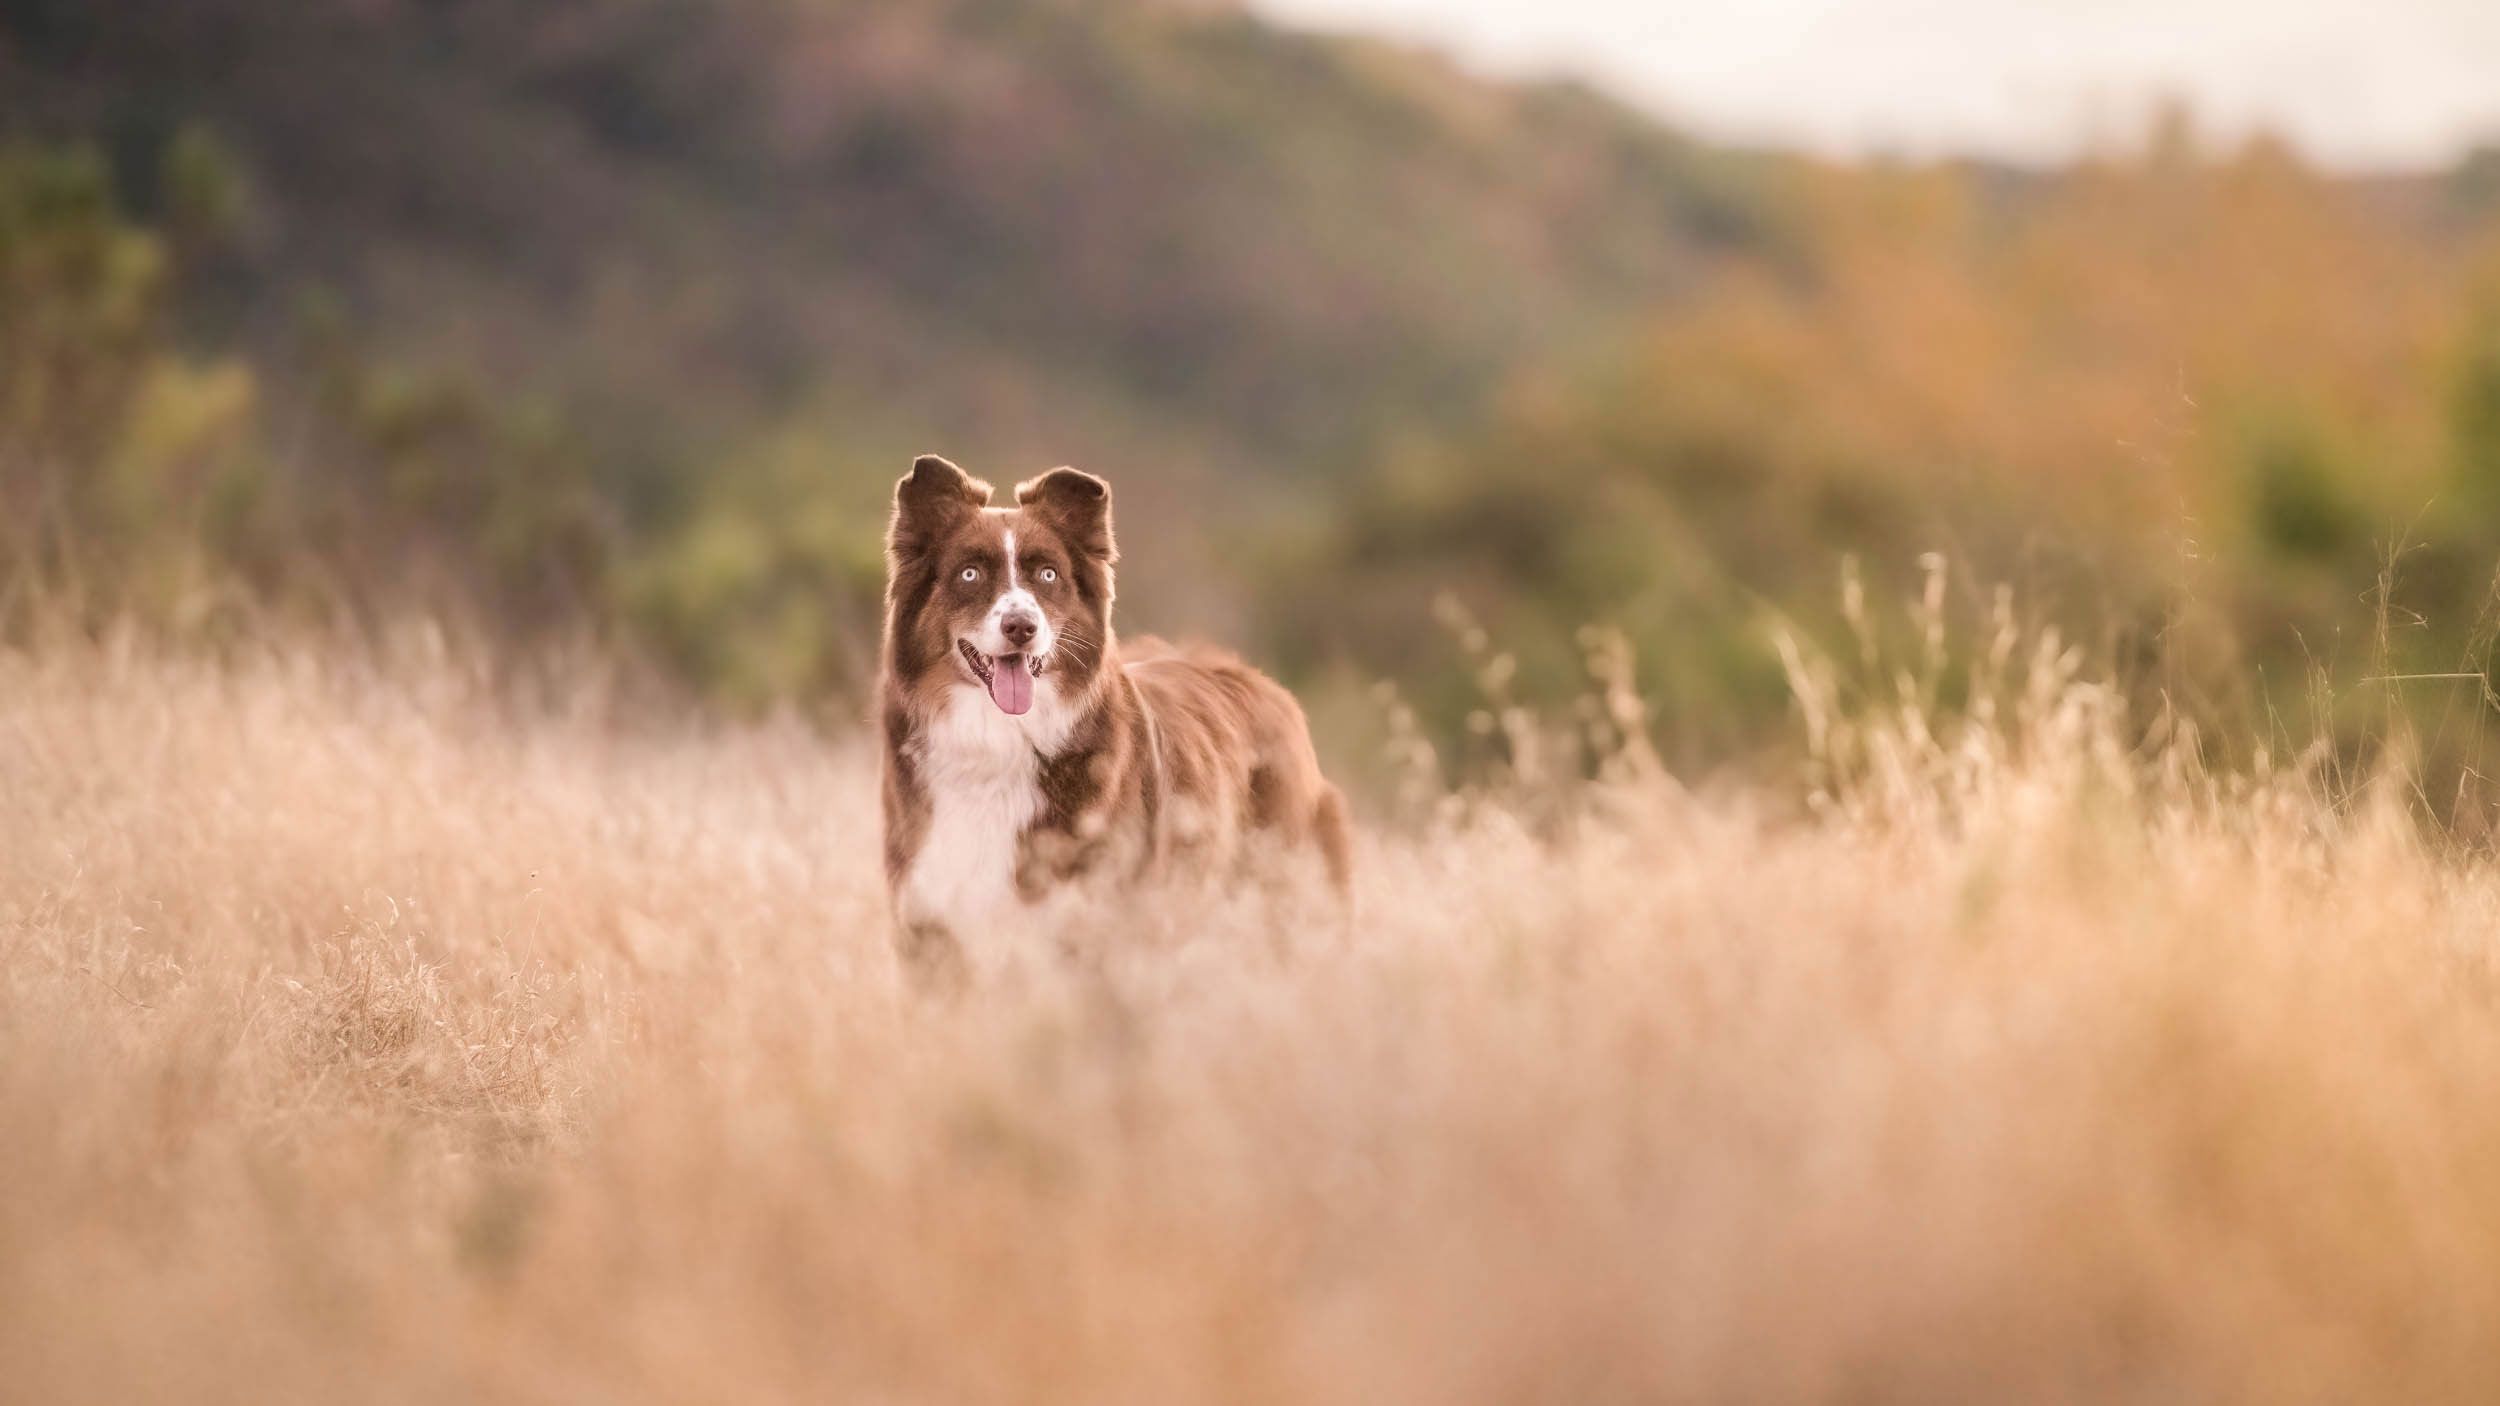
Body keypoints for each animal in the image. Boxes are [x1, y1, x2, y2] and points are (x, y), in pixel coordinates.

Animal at [880, 455, 1350, 980]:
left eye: (1048, 575)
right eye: (969, 574)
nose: (1022, 627)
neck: (999, 742)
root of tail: (1267, 685)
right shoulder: (929, 922)